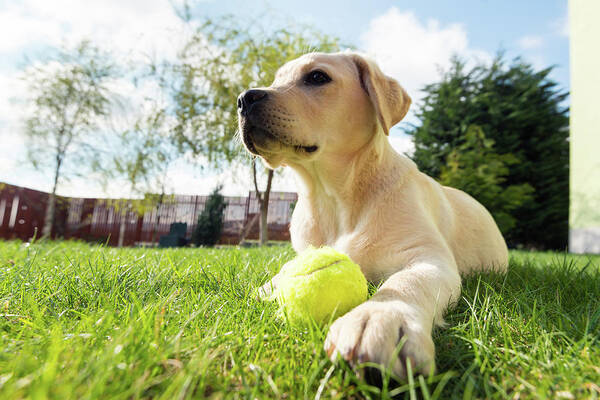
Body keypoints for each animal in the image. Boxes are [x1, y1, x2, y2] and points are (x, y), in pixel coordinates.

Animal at [236, 50, 506, 378]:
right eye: (276, 80)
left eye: (317, 77)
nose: (244, 99)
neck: (332, 196)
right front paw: (267, 287)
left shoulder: (429, 258)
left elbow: (404, 283)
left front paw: (379, 319)